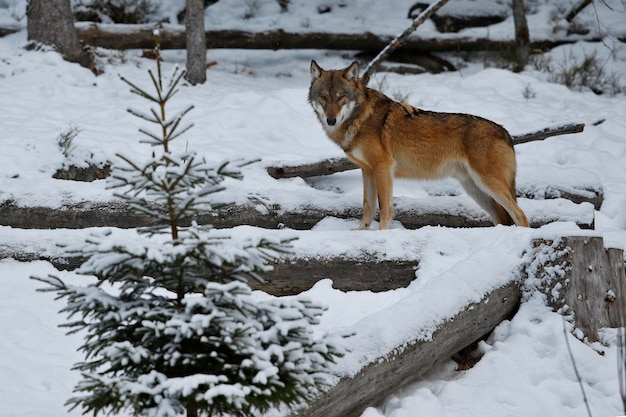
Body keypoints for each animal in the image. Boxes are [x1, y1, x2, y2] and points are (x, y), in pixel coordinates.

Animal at [308, 61, 528, 231]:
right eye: (324, 97)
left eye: (340, 96)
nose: (331, 120)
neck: (360, 117)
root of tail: (506, 133)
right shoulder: (367, 170)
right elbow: (368, 206)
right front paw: (361, 231)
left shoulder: (383, 168)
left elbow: (384, 207)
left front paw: (381, 233)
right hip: (476, 189)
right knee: (502, 219)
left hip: (489, 184)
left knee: (520, 214)